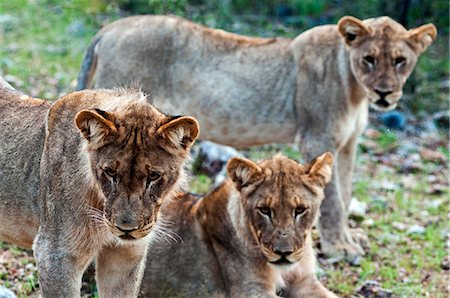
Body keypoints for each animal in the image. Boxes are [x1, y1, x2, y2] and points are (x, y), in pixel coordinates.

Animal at [76, 15, 436, 260]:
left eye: (400, 60)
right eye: (369, 59)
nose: (385, 93)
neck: (354, 87)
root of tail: (109, 29)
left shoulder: (347, 145)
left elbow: (345, 194)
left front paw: (349, 239)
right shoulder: (318, 137)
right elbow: (333, 199)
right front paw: (339, 248)